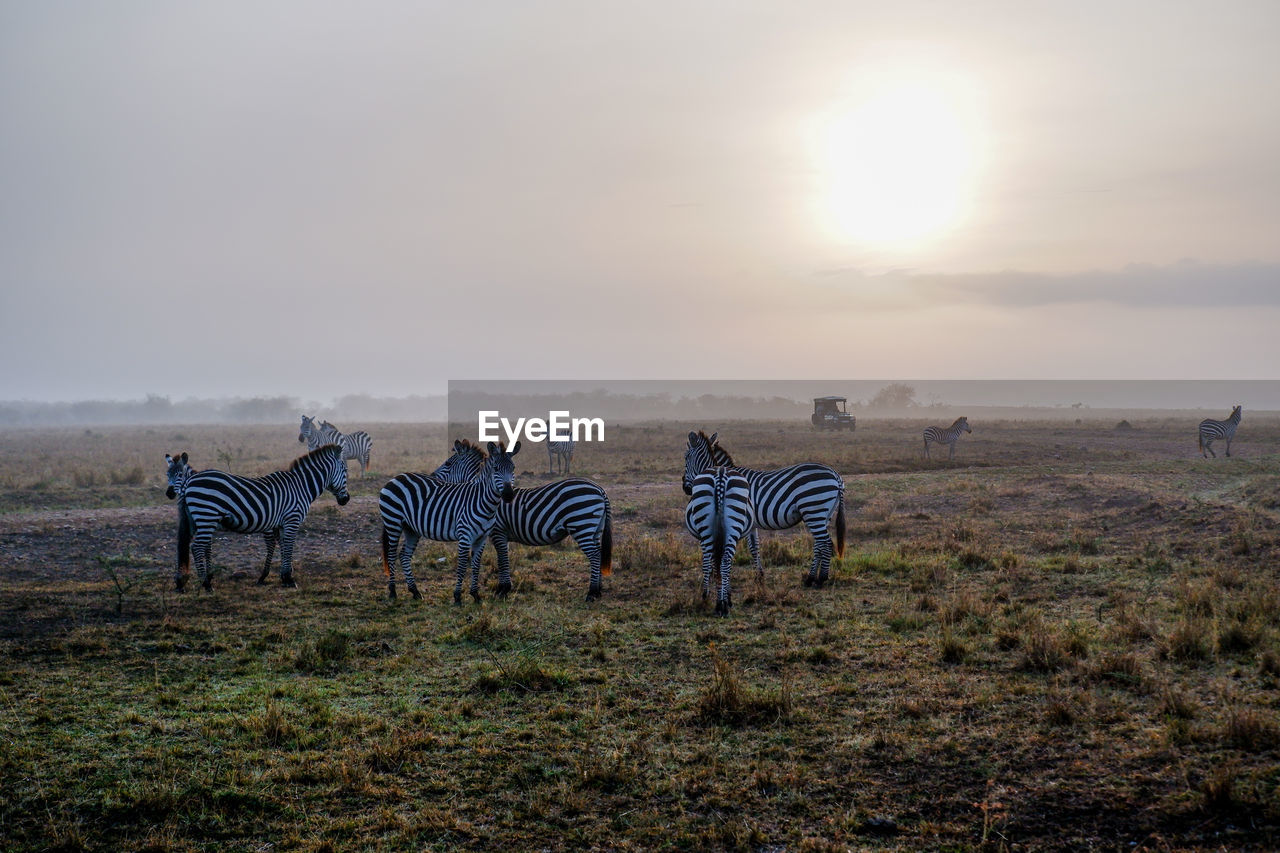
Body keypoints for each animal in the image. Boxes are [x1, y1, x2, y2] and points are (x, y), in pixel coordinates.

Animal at [176, 440, 350, 589]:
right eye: (346, 471)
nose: (346, 499)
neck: (301, 486)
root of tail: (189, 481)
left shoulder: (281, 523)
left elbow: (283, 546)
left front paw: (284, 577)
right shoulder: (292, 519)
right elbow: (289, 547)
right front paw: (289, 579)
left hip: (197, 520)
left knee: (195, 546)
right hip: (207, 515)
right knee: (197, 547)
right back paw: (206, 584)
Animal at [378, 440, 519, 601]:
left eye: (513, 468)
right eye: (496, 469)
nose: (508, 495)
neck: (482, 501)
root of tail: (397, 477)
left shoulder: (482, 538)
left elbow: (476, 565)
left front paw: (476, 595)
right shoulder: (465, 535)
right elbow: (462, 565)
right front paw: (457, 596)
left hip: (411, 529)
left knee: (404, 556)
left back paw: (415, 591)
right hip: (393, 522)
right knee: (391, 555)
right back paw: (392, 591)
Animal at [430, 438, 614, 596]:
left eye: (448, 463)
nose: (431, 476)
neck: (484, 494)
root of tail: (599, 489)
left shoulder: (498, 531)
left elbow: (502, 558)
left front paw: (503, 589)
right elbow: (502, 558)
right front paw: (503, 588)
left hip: (582, 524)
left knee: (594, 555)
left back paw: (591, 593)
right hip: (594, 528)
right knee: (598, 553)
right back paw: (598, 590)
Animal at [686, 432, 844, 584]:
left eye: (686, 457)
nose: (685, 488)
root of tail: (835, 475)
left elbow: (748, 547)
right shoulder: (751, 524)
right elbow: (755, 547)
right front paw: (759, 576)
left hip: (813, 509)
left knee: (825, 543)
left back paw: (821, 578)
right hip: (823, 514)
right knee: (819, 544)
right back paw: (811, 578)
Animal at [686, 461, 752, 614]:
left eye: (687, 462)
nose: (685, 488)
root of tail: (721, 474)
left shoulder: (703, 539)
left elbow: (711, 564)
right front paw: (726, 596)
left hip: (708, 527)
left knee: (714, 560)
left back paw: (715, 601)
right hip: (732, 524)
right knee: (724, 560)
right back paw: (722, 604)